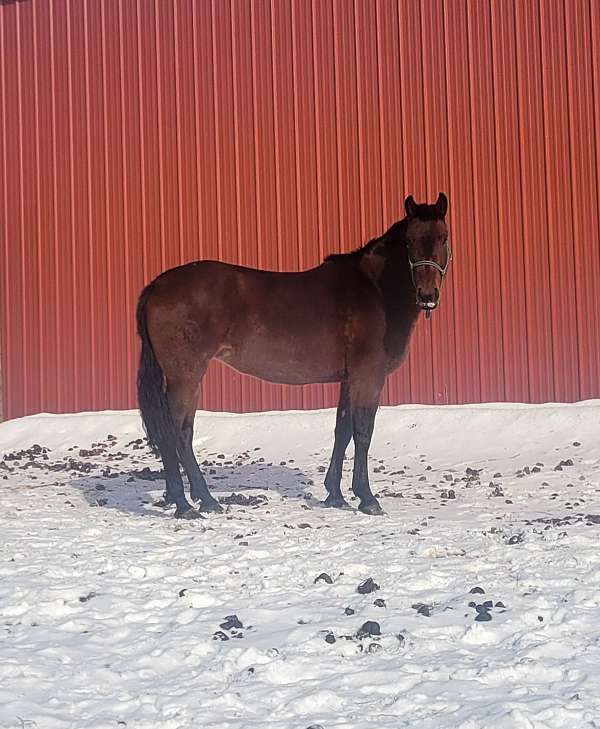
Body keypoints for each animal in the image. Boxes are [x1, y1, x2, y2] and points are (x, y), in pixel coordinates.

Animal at [136, 193, 451, 519]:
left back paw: (197, 499)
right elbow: (363, 433)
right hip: (185, 377)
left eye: (443, 237)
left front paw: (335, 495)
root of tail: (157, 285)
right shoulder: (368, 378)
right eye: (409, 241)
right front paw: (367, 498)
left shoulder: (348, 379)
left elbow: (342, 431)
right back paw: (189, 503)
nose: (427, 295)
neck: (375, 291)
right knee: (175, 432)